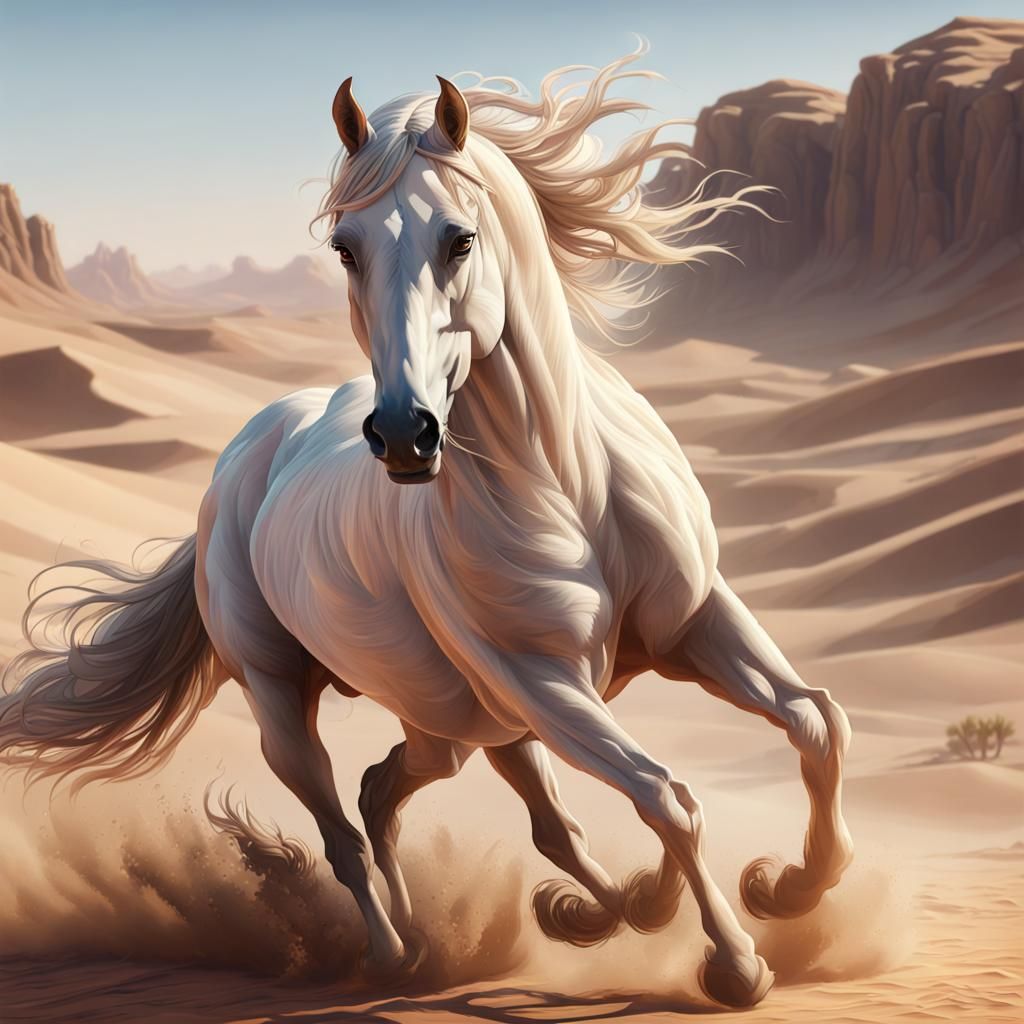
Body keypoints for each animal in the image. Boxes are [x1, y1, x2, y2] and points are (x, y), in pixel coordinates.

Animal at [0, 48, 852, 1009]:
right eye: (345, 247)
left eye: (460, 239)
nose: (405, 435)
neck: (571, 483)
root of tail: (245, 456)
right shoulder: (542, 680)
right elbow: (666, 796)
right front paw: (738, 961)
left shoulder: (696, 619)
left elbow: (815, 723)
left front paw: (787, 887)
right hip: (293, 697)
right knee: (348, 827)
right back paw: (401, 954)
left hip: (459, 722)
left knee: (407, 796)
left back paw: (574, 913)